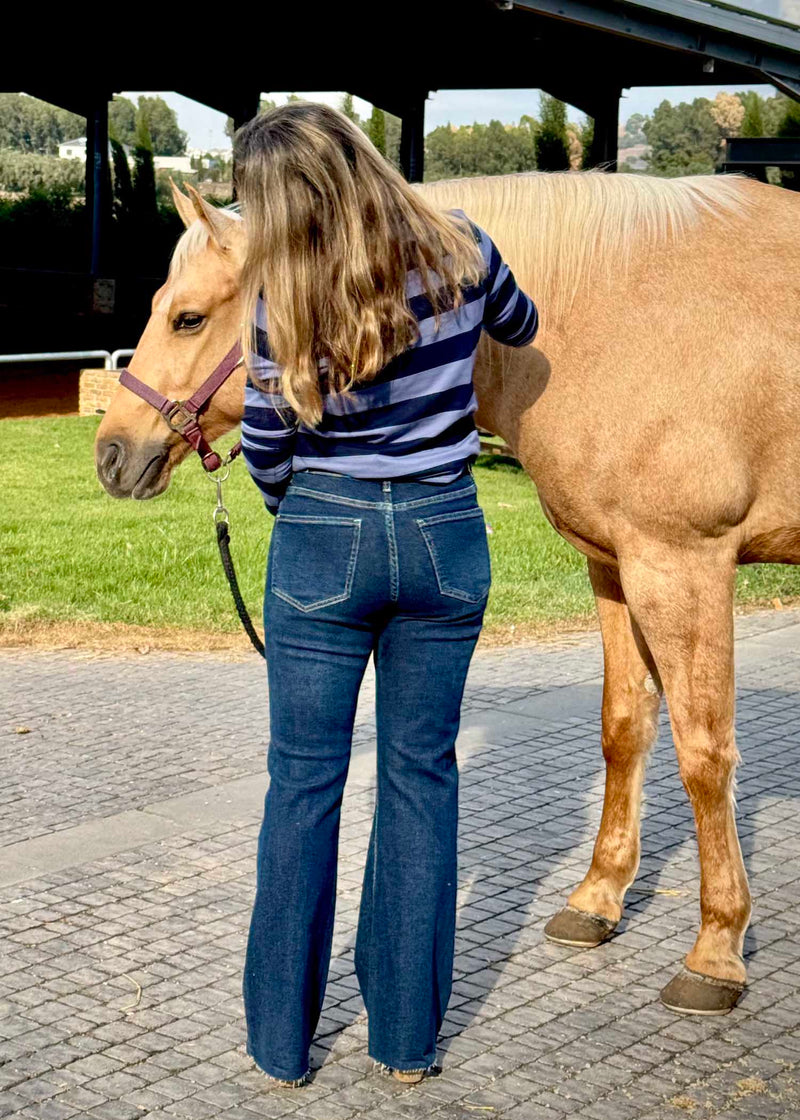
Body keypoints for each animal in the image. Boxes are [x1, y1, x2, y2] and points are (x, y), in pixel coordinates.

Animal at [98, 172, 797, 1016]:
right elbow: (625, 730)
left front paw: (717, 948)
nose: (110, 453)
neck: (616, 313)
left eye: (188, 317)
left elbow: (705, 754)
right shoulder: (617, 568)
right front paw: (597, 898)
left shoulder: (684, 566)